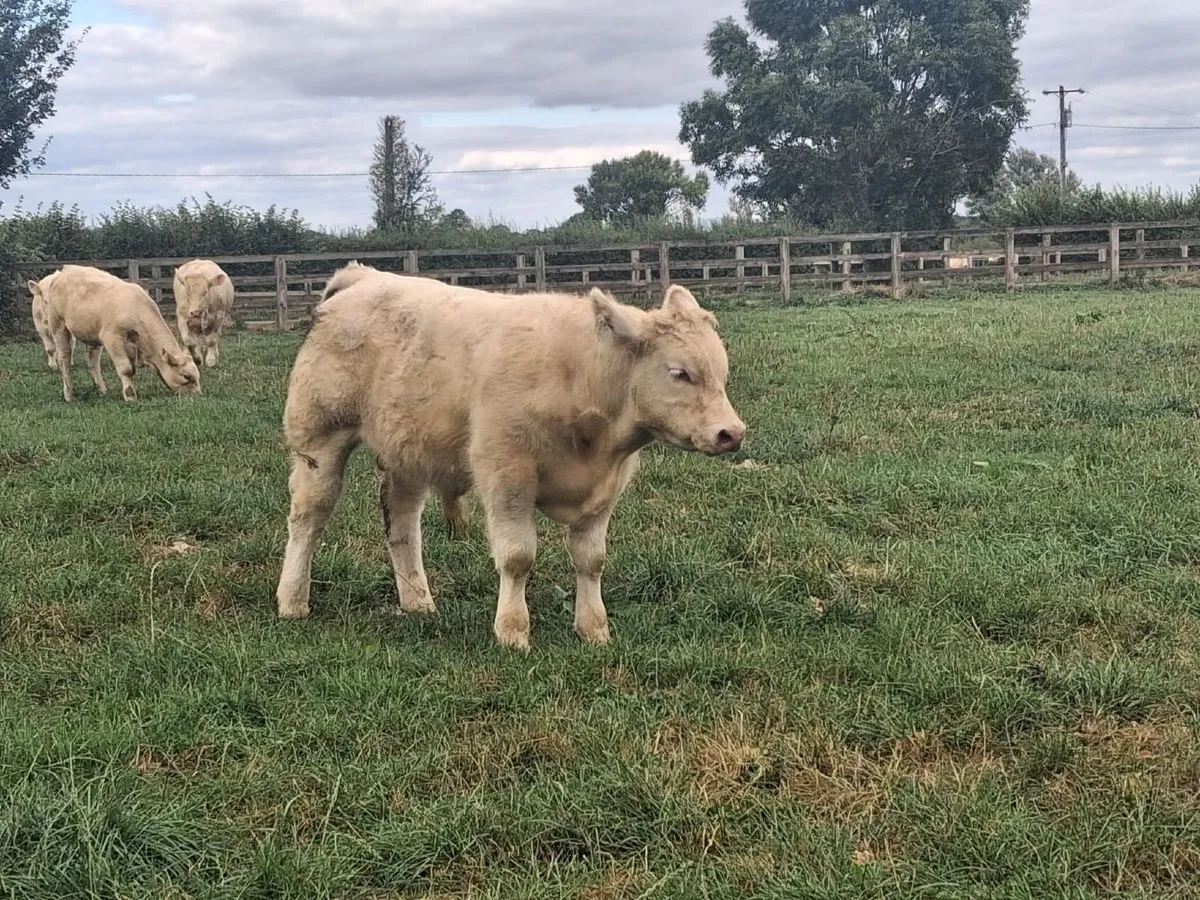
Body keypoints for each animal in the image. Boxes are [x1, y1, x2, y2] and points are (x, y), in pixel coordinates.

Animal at [274, 269, 745, 650]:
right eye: (679, 373)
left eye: (721, 373)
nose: (732, 433)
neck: (580, 375)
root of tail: (362, 277)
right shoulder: (506, 473)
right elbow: (518, 557)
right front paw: (513, 631)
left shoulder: (607, 487)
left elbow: (591, 560)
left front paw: (594, 629)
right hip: (319, 438)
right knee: (308, 518)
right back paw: (292, 600)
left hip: (408, 449)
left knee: (402, 522)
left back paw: (418, 600)